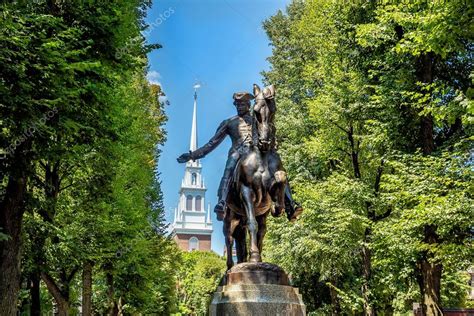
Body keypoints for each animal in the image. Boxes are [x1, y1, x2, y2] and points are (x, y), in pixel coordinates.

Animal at [222, 84, 286, 270]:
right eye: (256, 111)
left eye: (273, 110)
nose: (265, 142)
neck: (262, 157)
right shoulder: (246, 191)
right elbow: (253, 224)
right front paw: (255, 257)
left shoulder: (267, 195)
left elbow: (281, 177)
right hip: (230, 219)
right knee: (229, 239)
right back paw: (230, 267)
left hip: (249, 217)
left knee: (257, 233)